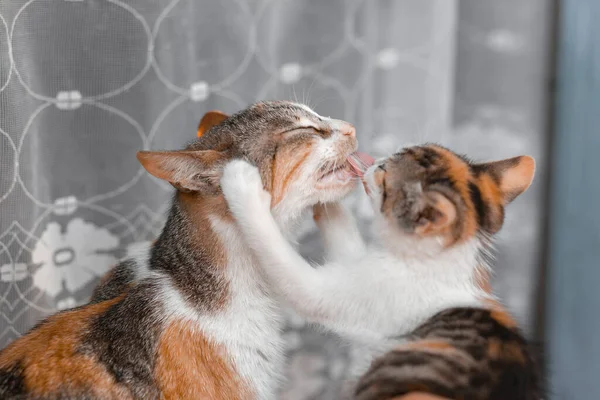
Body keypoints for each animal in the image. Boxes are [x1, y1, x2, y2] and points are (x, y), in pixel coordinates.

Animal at [220, 142, 544, 398]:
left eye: (385, 172)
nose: (375, 161)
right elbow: (345, 240)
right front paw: (330, 195)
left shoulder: (359, 293)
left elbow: (288, 269)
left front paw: (242, 184)